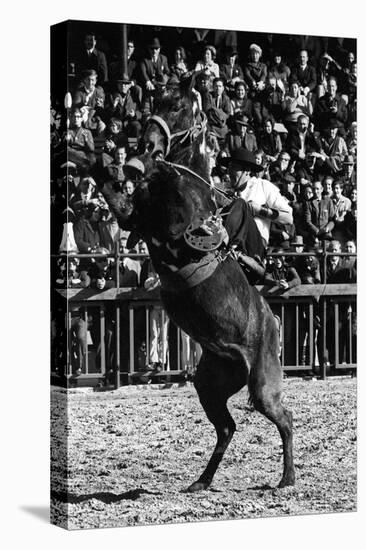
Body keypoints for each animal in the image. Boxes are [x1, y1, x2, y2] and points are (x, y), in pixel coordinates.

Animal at [101, 80, 296, 494]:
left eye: (179, 106)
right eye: (159, 101)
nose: (147, 144)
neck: (183, 183)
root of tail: (270, 317)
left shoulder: (179, 234)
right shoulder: (132, 219)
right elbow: (115, 194)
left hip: (263, 383)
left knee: (283, 418)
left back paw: (286, 478)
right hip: (209, 383)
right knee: (226, 428)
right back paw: (201, 481)